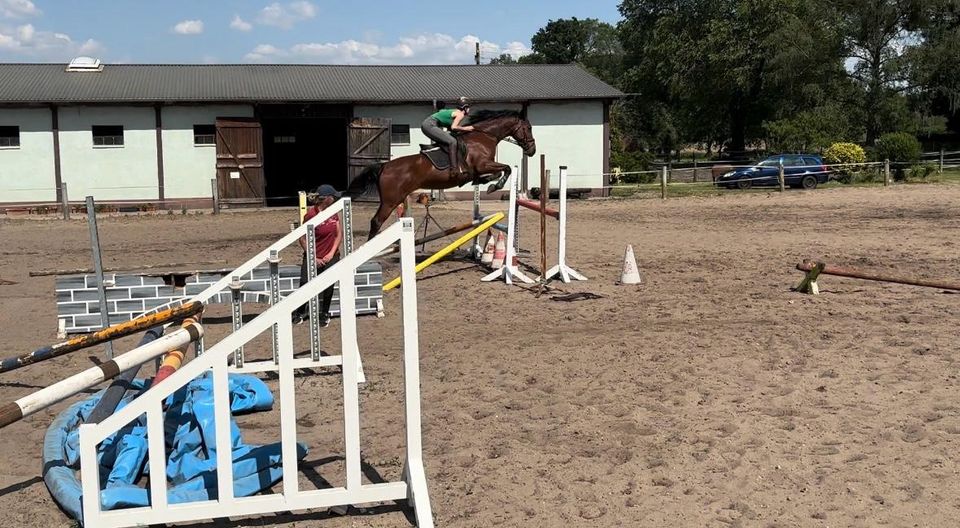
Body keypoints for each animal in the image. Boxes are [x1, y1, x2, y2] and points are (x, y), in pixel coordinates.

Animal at [348, 110, 536, 240]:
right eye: (528, 128)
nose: (532, 151)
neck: (484, 136)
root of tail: (385, 166)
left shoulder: (482, 167)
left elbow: (499, 171)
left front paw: (487, 183)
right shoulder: (482, 165)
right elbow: (506, 168)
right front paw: (493, 186)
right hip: (390, 200)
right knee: (376, 221)